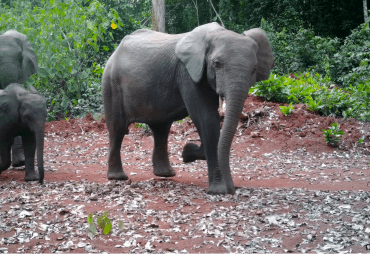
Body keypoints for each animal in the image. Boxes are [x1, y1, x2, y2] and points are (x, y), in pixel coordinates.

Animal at [102, 22, 274, 194]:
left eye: (254, 69)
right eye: (216, 64)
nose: (233, 189)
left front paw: (187, 153)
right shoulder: (187, 73)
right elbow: (205, 117)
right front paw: (218, 190)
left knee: (161, 129)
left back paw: (166, 174)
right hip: (111, 84)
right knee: (117, 129)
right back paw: (118, 177)